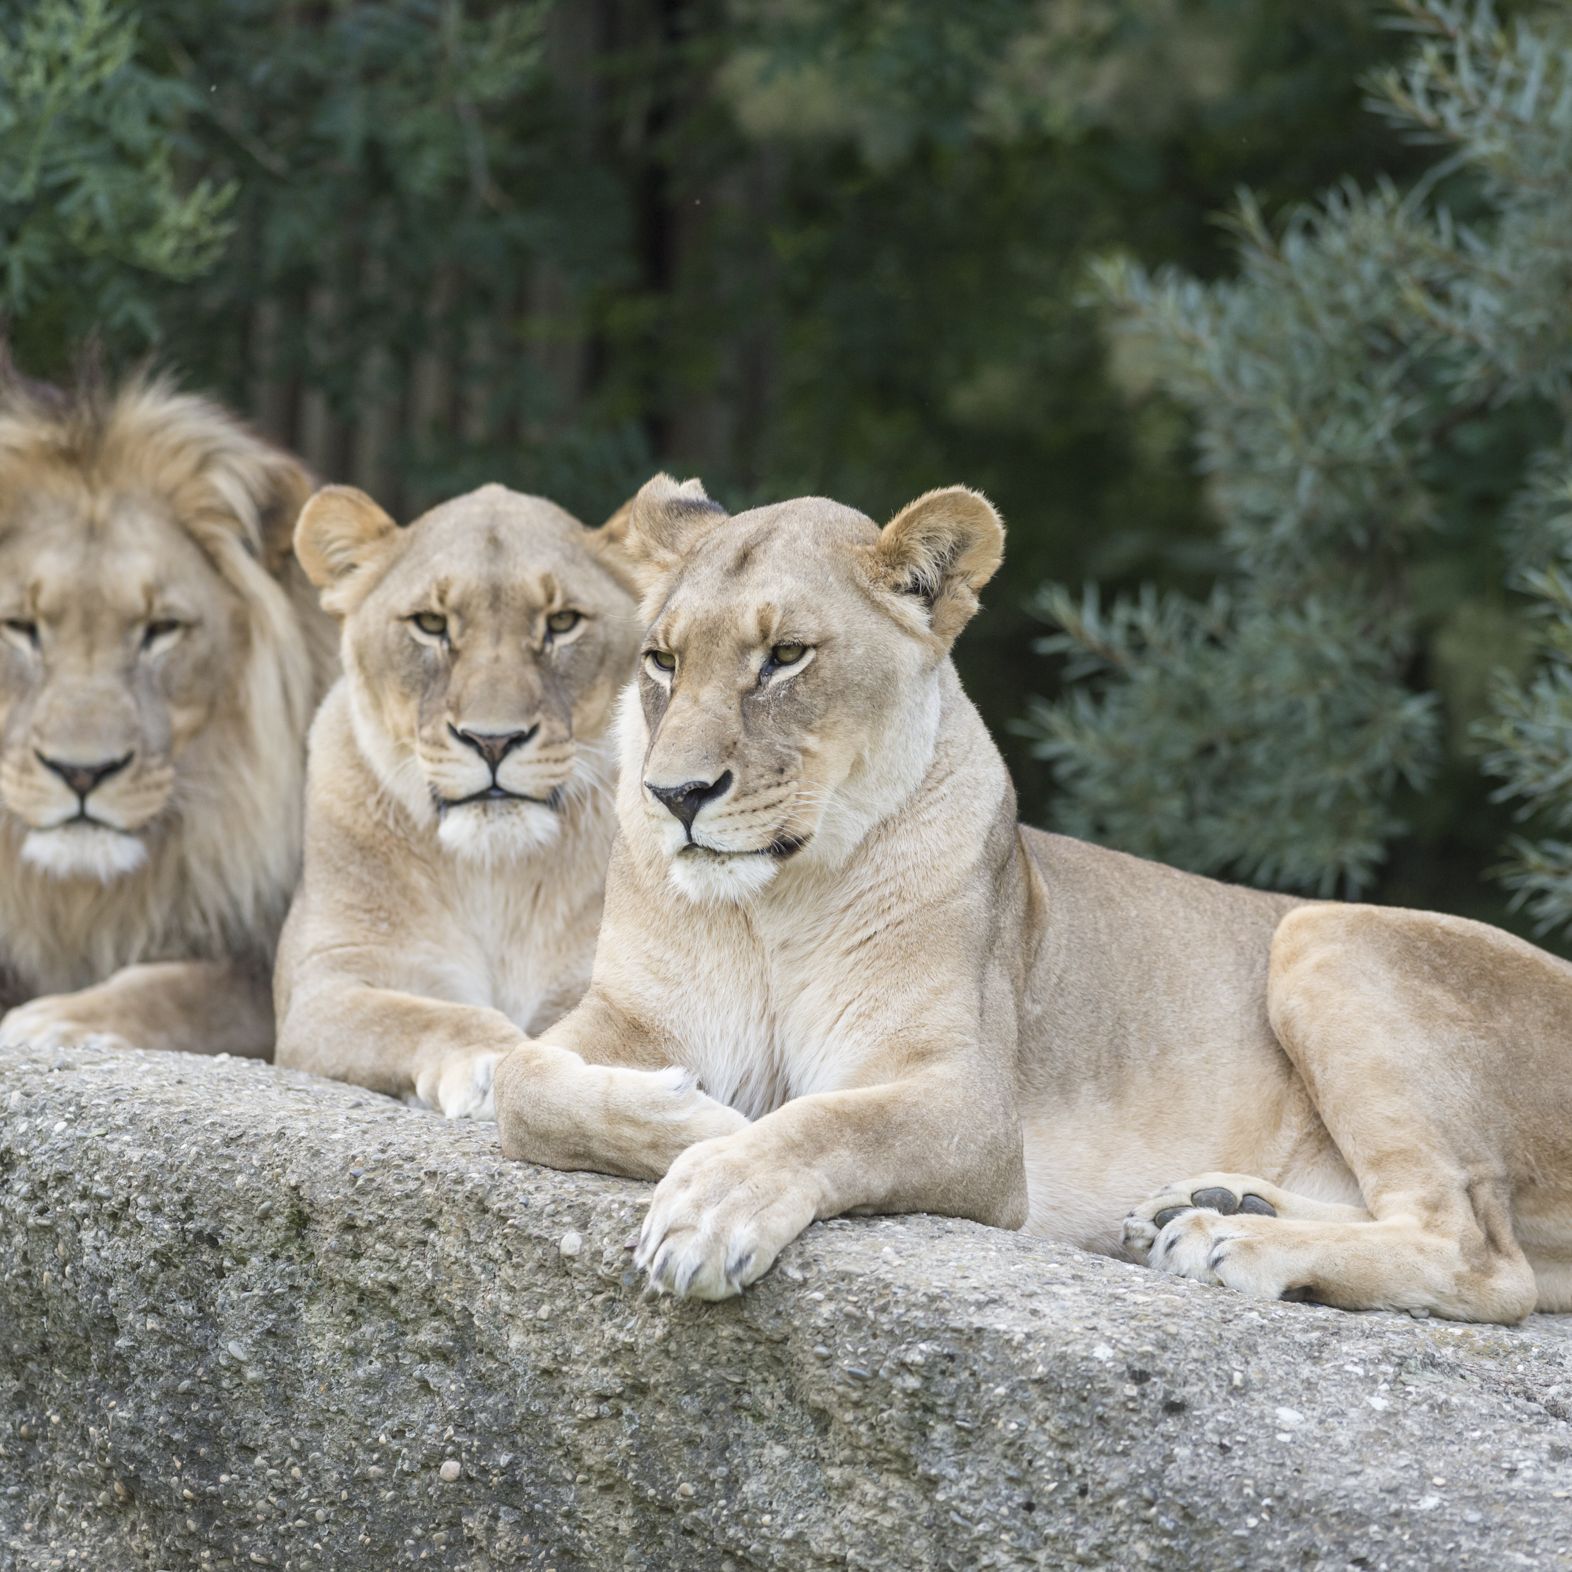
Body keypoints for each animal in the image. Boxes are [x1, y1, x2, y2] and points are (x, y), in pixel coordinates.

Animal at [273, 477, 641, 1119]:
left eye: (563, 621)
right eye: (429, 622)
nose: (493, 740)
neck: (494, 878)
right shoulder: (324, 981)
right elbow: (417, 1015)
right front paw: (490, 1061)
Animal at [493, 471, 1572, 1320]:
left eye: (786, 655)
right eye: (663, 660)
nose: (674, 796)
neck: (767, 906)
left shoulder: (971, 1110)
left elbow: (826, 1121)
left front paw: (715, 1180)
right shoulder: (626, 1019)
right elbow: (520, 1080)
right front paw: (692, 1116)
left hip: (1324, 932)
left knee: (1483, 1257)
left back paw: (1235, 1243)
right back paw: (1211, 1205)